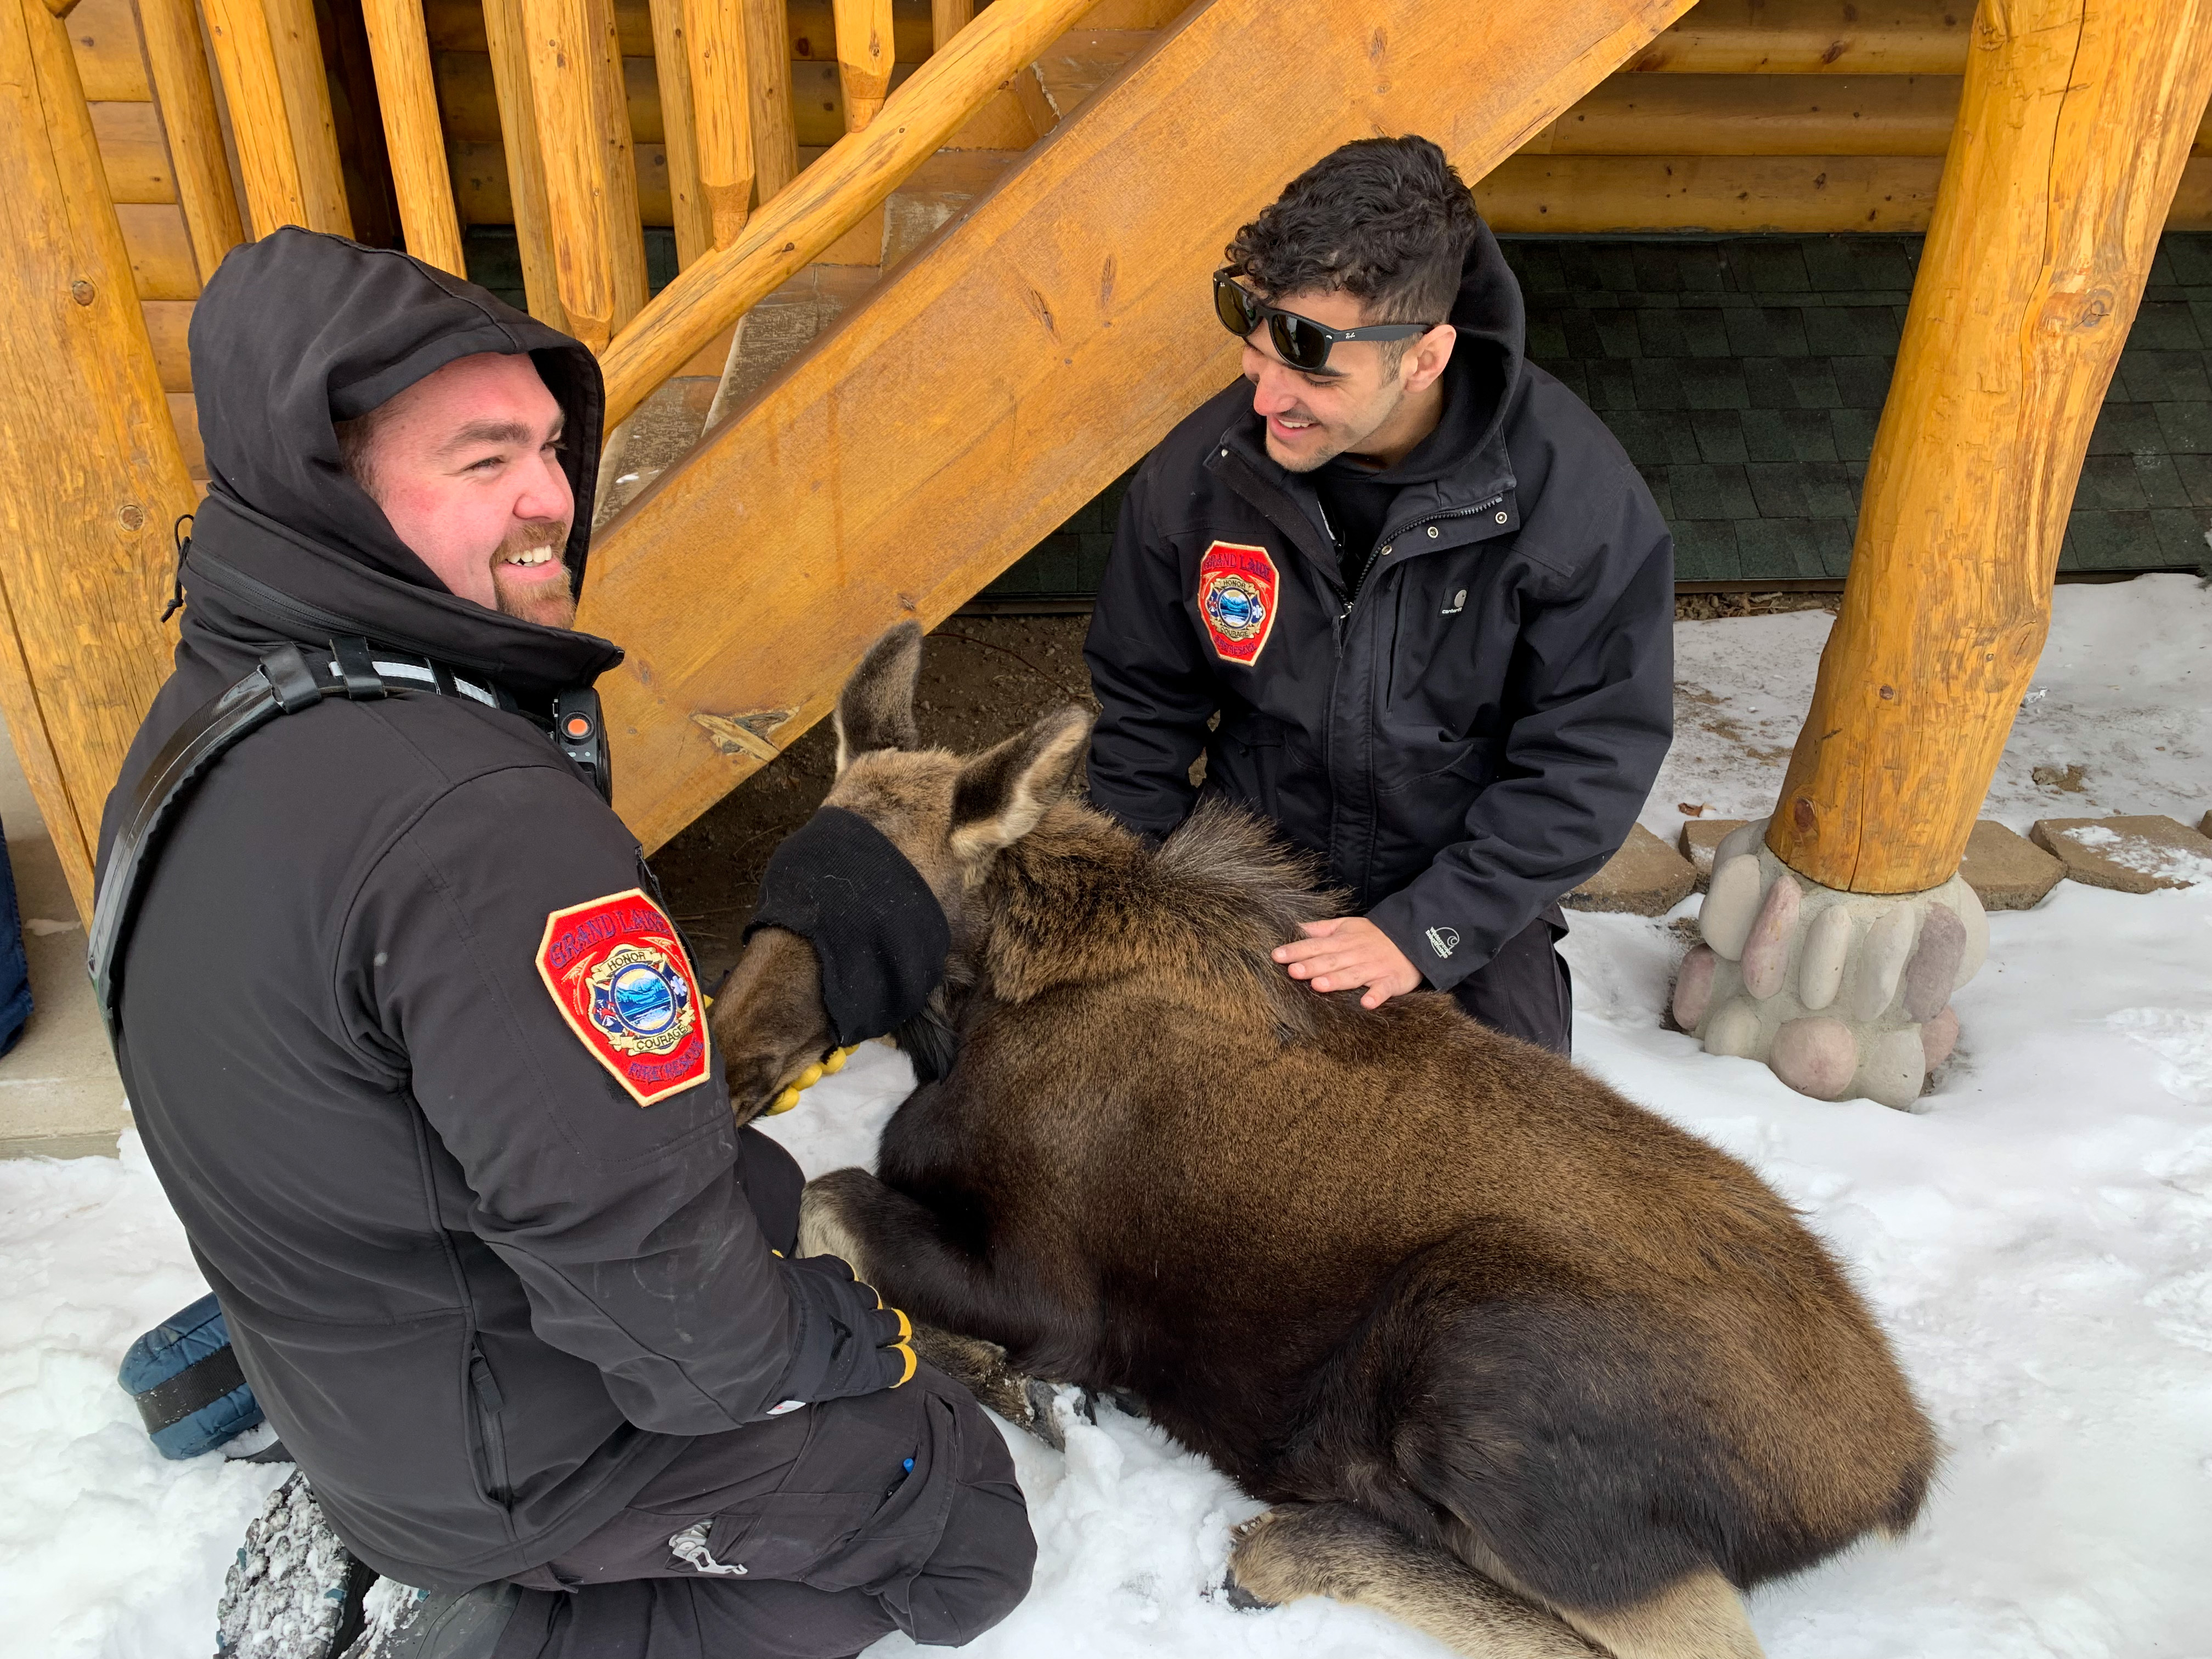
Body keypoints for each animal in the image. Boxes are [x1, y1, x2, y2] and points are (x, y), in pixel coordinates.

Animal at [709, 622, 1938, 1659]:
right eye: (776, 878)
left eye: (876, 912)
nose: (724, 1063)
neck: (964, 1020)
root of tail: (1894, 1477)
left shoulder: (1052, 1291)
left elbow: (829, 1202)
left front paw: (1010, 1384)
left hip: (1484, 1366)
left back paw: (1289, 1544)